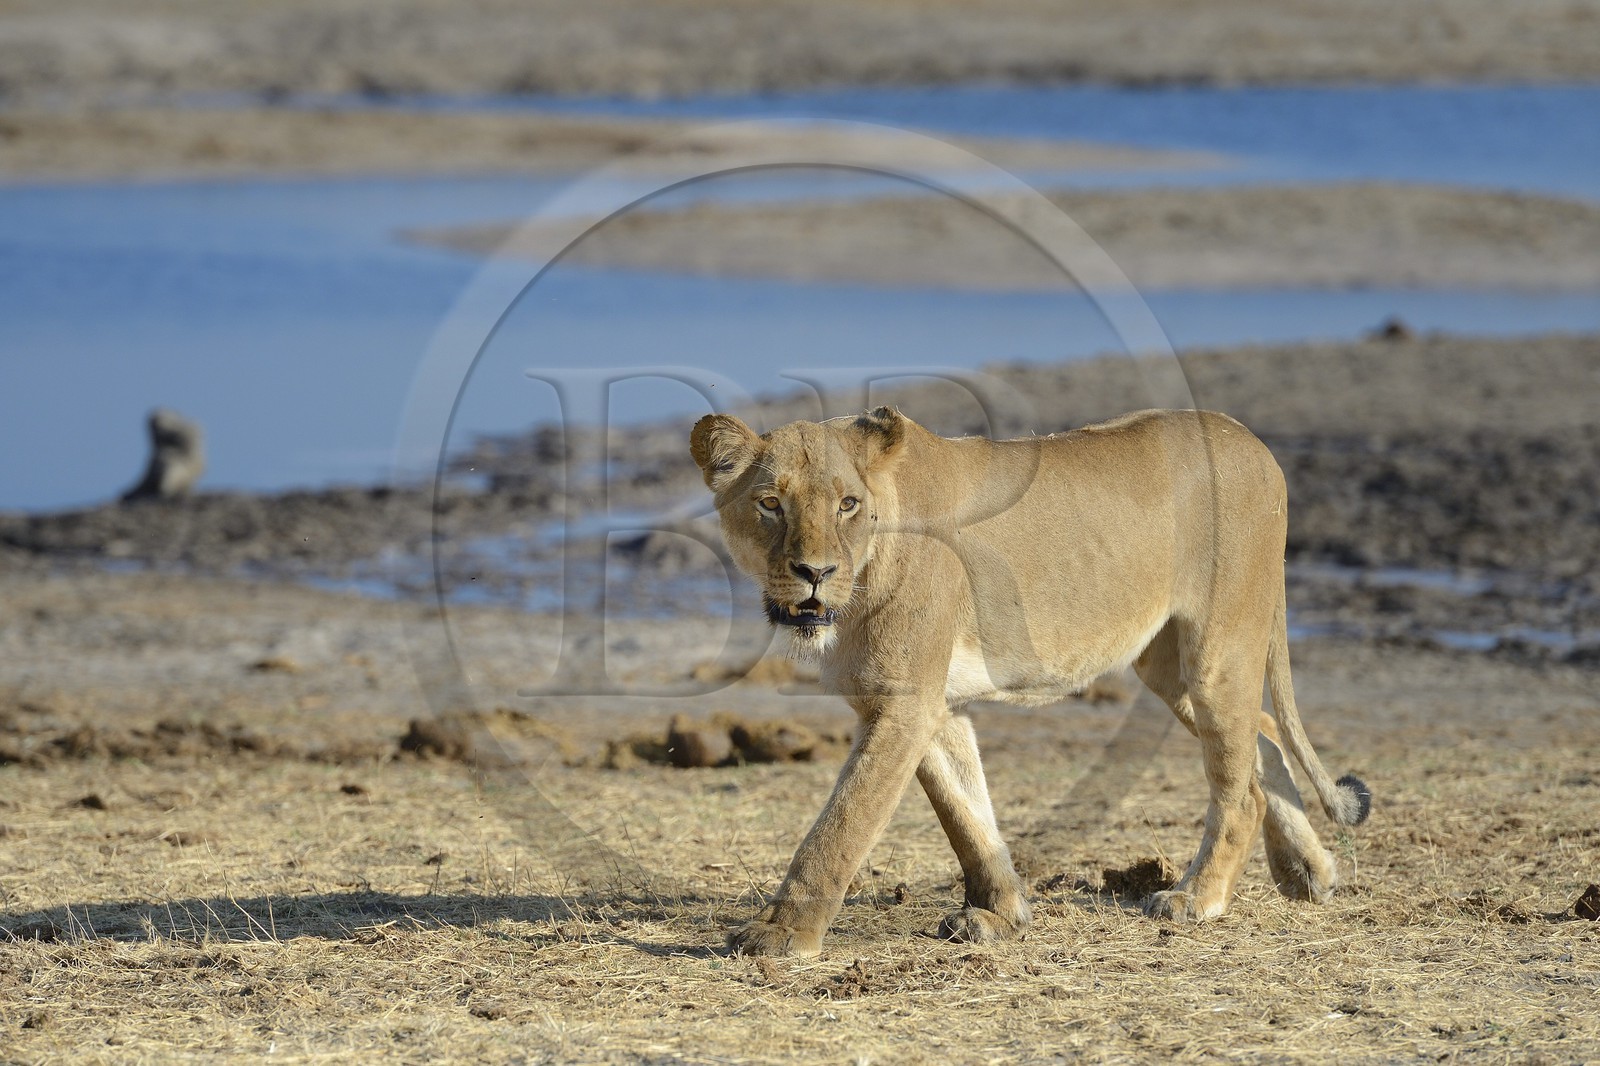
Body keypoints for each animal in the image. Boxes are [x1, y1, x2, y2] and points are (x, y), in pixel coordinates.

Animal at [690, 406, 1371, 957]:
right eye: (771, 503)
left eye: (846, 505)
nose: (815, 572)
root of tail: (1252, 441)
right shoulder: (930, 705)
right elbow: (966, 812)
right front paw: (1000, 914)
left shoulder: (905, 704)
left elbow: (842, 822)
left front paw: (781, 932)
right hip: (1167, 666)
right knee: (1264, 735)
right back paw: (1308, 872)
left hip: (1216, 650)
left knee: (1240, 785)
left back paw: (1196, 898)